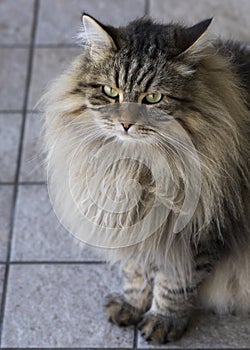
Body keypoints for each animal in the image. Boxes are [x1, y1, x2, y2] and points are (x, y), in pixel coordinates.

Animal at [42, 14, 249, 344]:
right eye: (111, 91)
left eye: (153, 98)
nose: (125, 124)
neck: (135, 168)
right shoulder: (129, 225)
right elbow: (136, 273)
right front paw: (131, 306)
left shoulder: (199, 232)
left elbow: (175, 283)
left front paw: (163, 321)